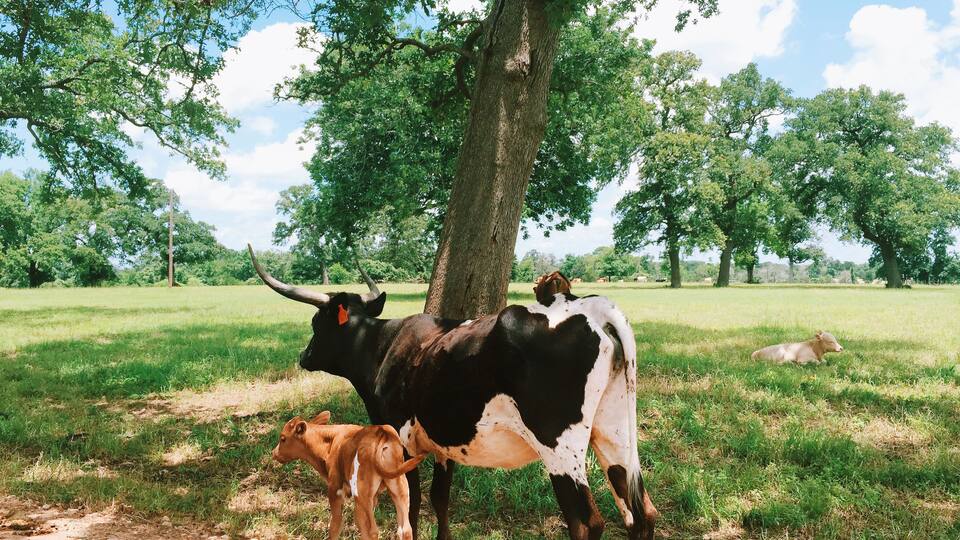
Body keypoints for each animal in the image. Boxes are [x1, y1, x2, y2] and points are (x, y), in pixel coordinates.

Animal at [248, 246, 657, 540]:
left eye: (317, 323)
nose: (304, 356)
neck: (383, 346)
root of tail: (589, 305)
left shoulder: (400, 442)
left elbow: (410, 505)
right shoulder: (443, 445)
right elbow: (440, 500)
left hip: (560, 446)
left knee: (587, 523)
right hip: (614, 434)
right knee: (641, 514)